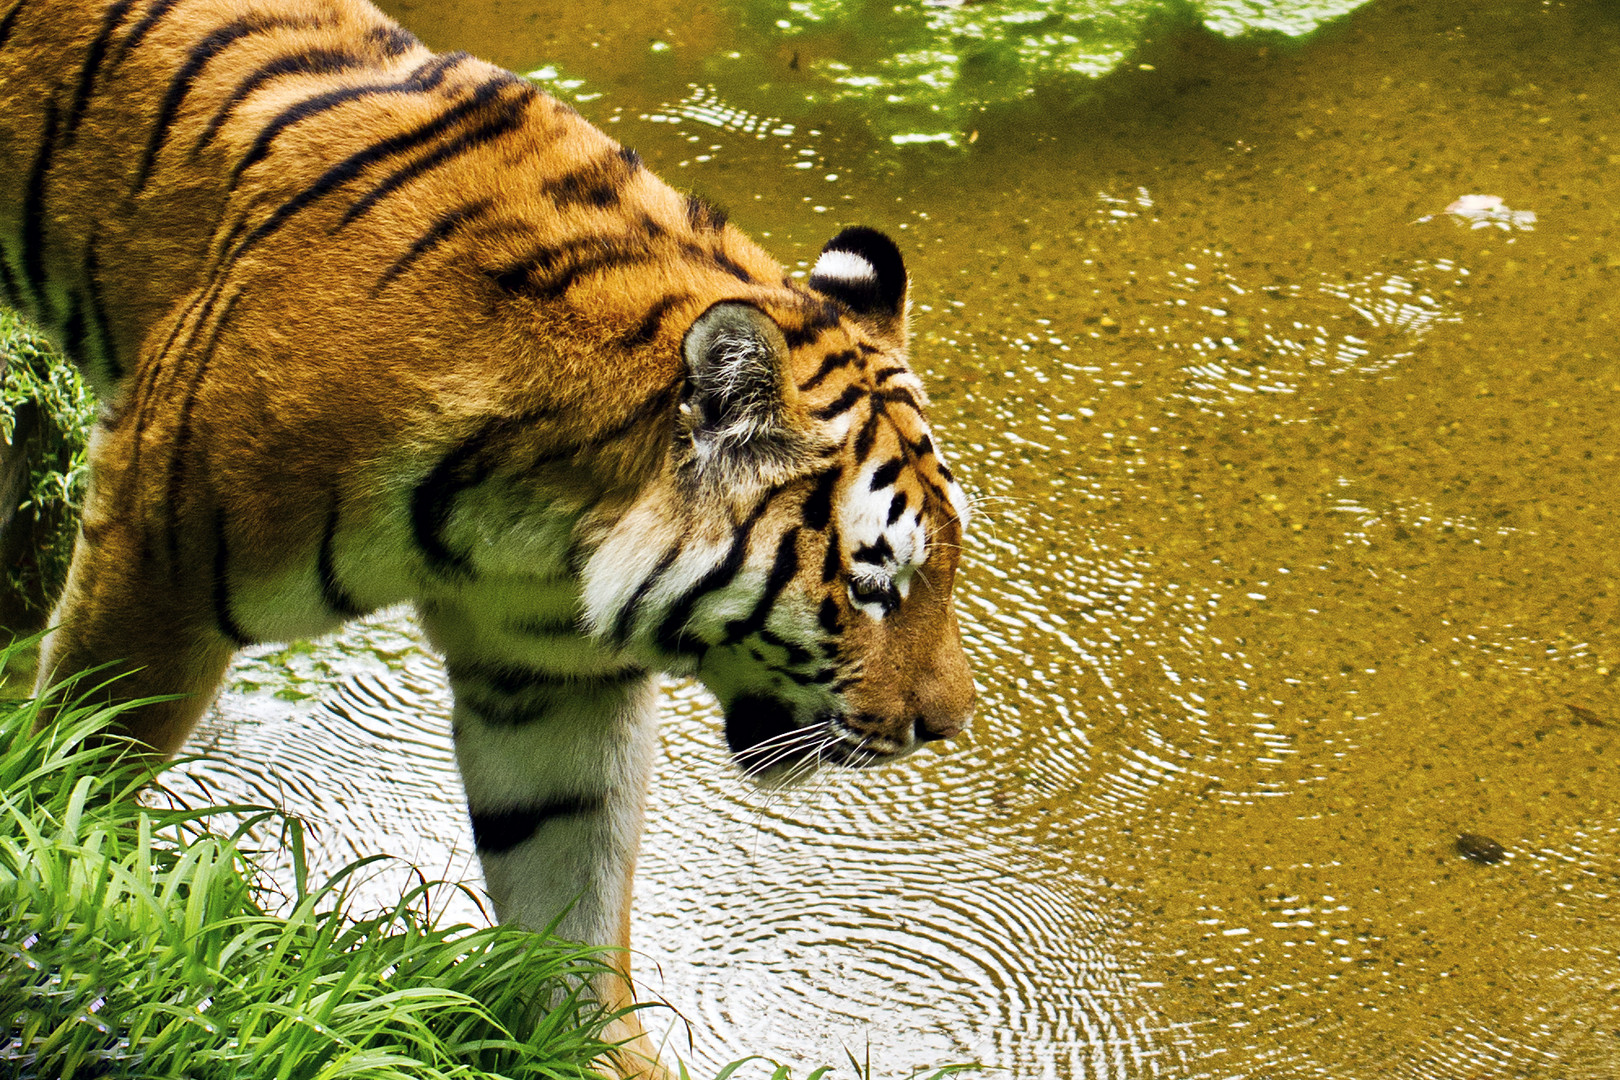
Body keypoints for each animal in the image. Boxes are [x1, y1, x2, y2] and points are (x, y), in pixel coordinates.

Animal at [0, 0, 972, 1068]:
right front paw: (69, 891)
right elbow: (91, 753)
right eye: (873, 587)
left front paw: (592, 1054)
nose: (947, 726)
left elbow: (570, 898)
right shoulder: (155, 547)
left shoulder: (553, 681)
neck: (547, 527)